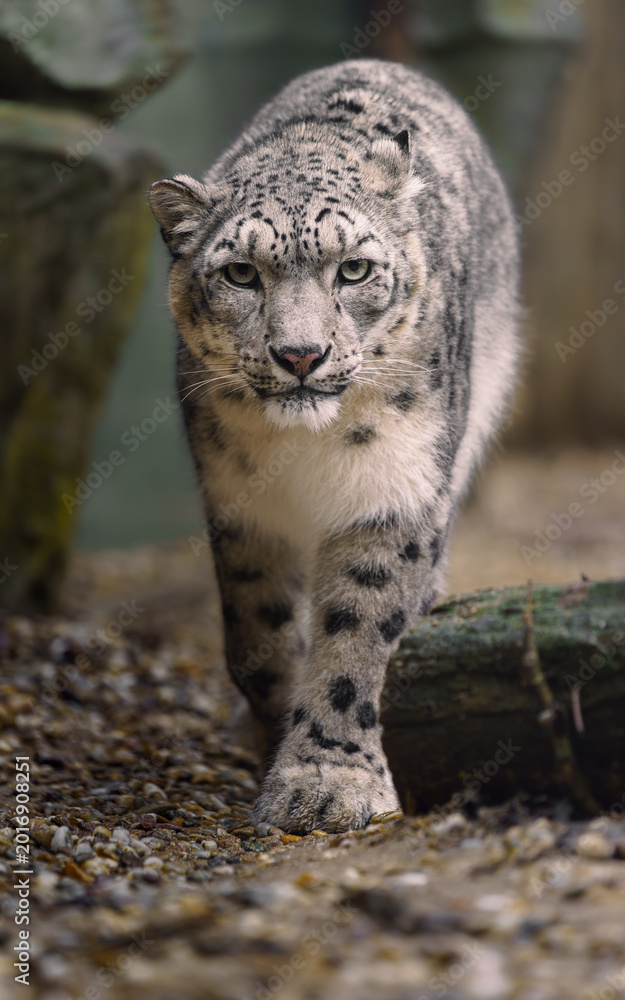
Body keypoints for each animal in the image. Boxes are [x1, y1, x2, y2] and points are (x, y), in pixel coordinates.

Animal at [148, 58, 521, 834]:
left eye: (353, 269)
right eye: (240, 273)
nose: (300, 355)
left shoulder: (394, 486)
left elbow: (359, 629)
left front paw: (326, 780)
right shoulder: (239, 503)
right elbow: (256, 636)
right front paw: (275, 736)